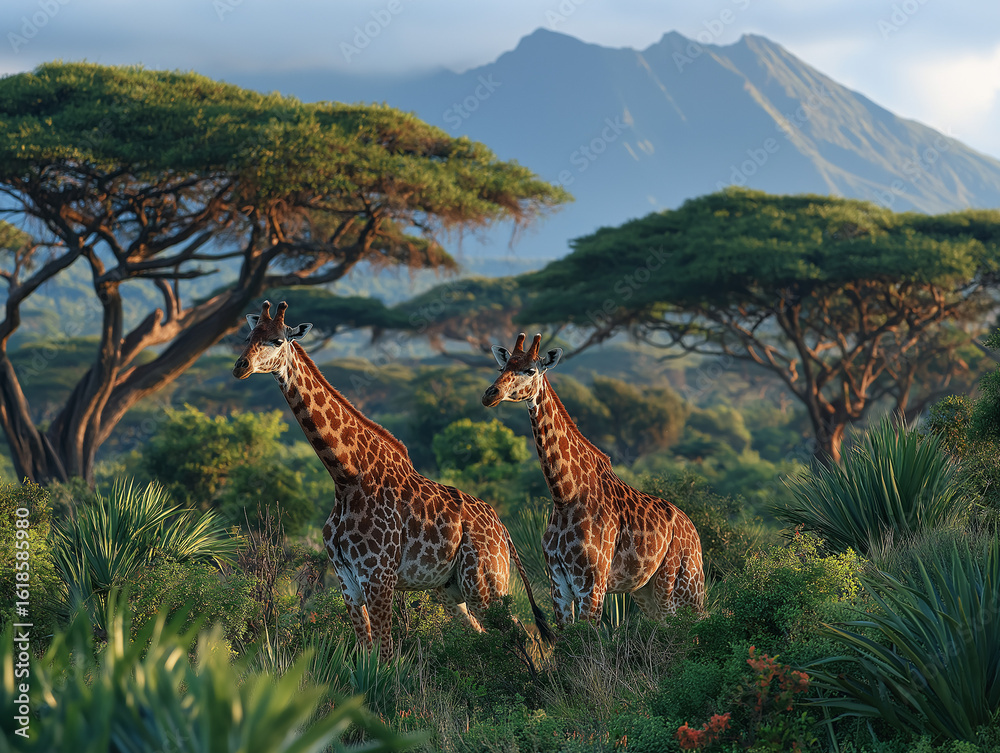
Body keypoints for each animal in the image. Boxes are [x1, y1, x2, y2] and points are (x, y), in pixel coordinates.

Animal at [233, 302, 551, 659]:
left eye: (276, 340)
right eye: (248, 337)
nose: (240, 366)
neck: (345, 478)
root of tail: (503, 529)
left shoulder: (378, 577)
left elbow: (385, 654)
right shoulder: (347, 581)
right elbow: (365, 652)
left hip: (485, 583)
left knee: (522, 634)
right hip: (451, 590)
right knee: (487, 634)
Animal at [482, 333, 705, 626]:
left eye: (530, 370)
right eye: (502, 366)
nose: (490, 394)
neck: (564, 496)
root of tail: (693, 531)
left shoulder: (591, 583)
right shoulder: (558, 584)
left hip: (683, 587)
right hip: (647, 592)